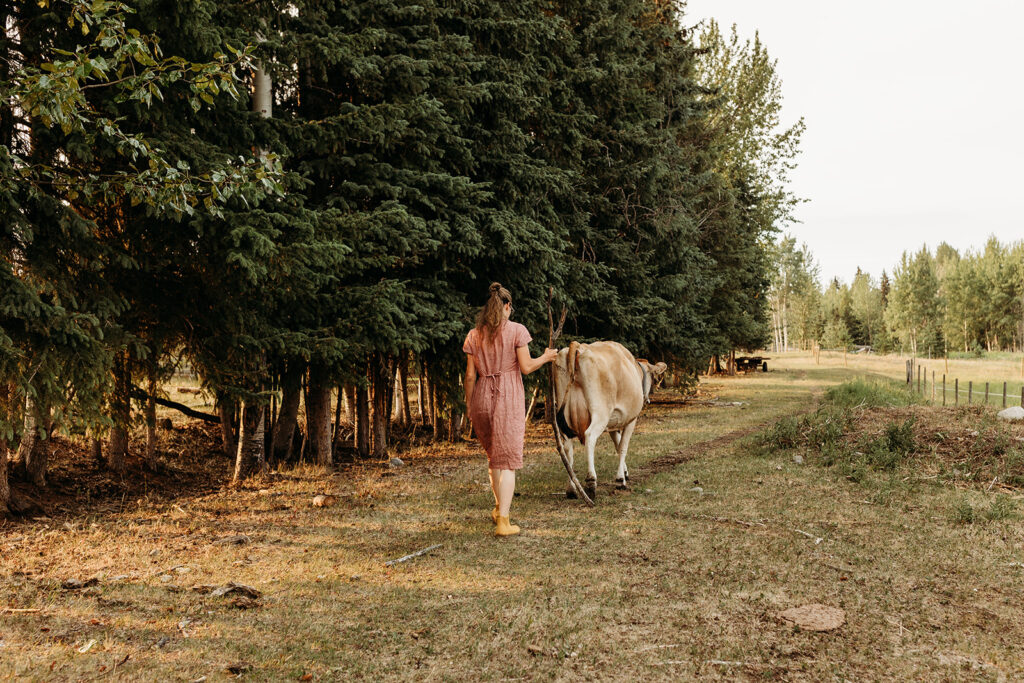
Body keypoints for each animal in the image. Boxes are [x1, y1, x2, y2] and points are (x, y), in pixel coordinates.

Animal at [557, 342, 667, 501]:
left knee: (567, 446)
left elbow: (617, 444)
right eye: (653, 377)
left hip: (565, 415)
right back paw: (591, 482)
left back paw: (571, 489)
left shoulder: (614, 422)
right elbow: (622, 447)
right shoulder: (631, 420)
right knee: (590, 436)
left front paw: (625, 472)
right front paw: (621, 479)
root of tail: (579, 347)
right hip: (600, 413)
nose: (648, 398)